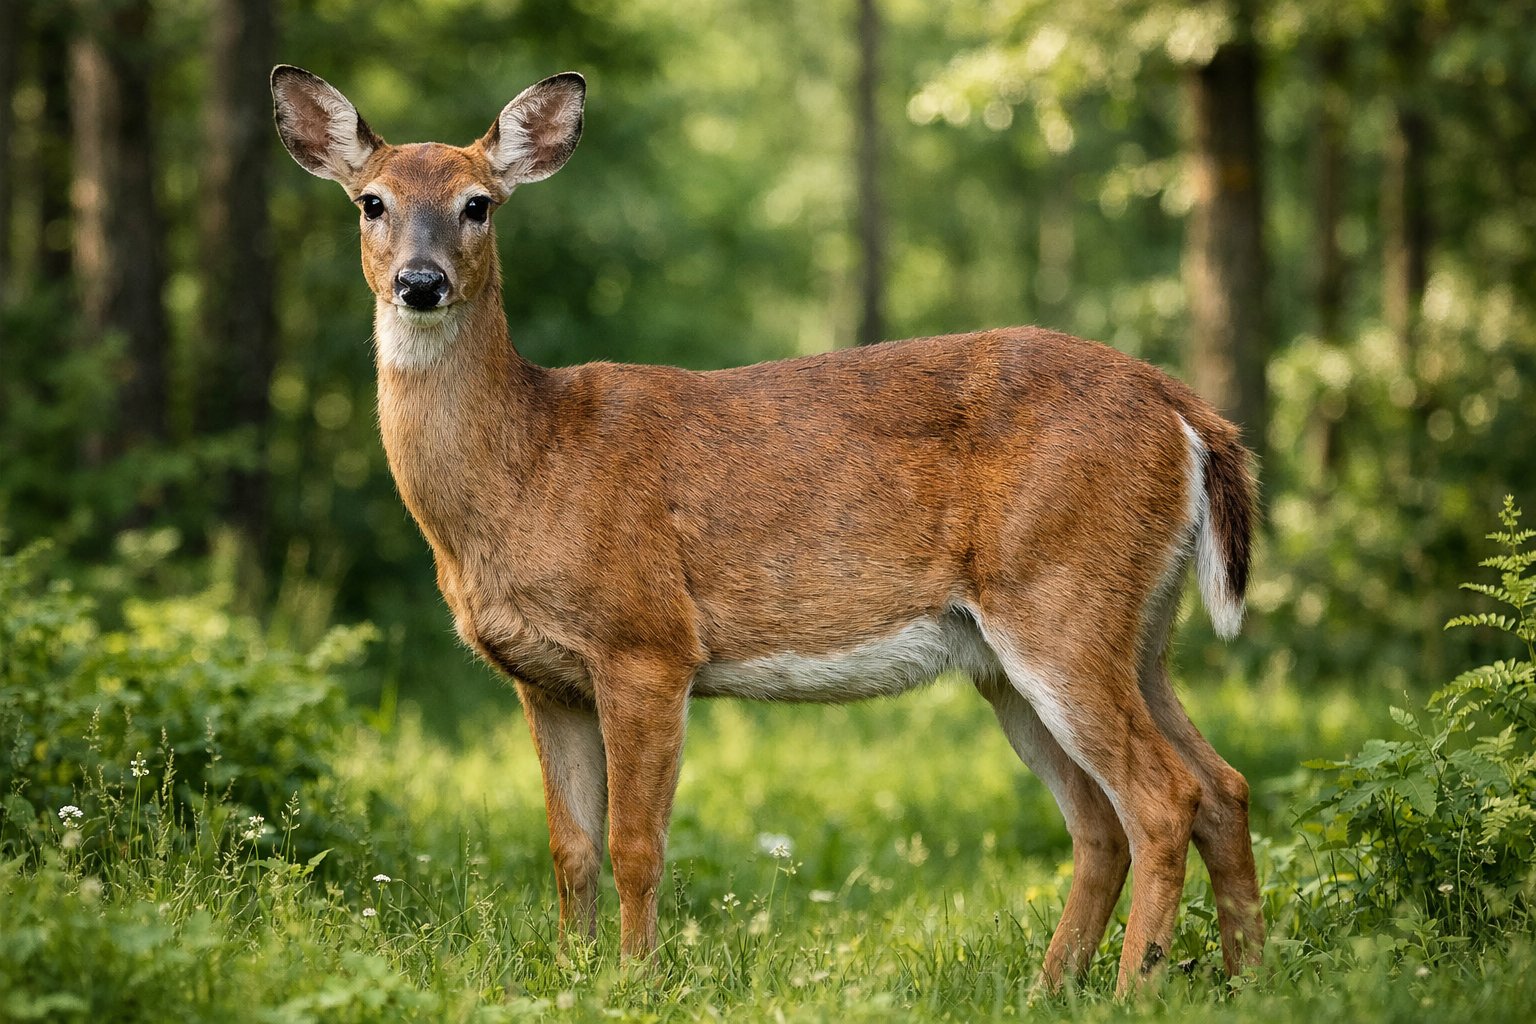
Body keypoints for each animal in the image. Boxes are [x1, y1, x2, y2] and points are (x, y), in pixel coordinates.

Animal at [271, 65, 1265, 994]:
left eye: (478, 204)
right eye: (371, 202)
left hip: (1059, 599)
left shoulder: (646, 641)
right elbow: (569, 850)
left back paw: (1134, 986)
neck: (528, 466)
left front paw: (637, 980)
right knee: (1187, 794)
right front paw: (571, 974)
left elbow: (637, 843)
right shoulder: (543, 679)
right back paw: (1186, 976)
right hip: (1096, 636)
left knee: (1161, 798)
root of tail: (1186, 412)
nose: (421, 283)